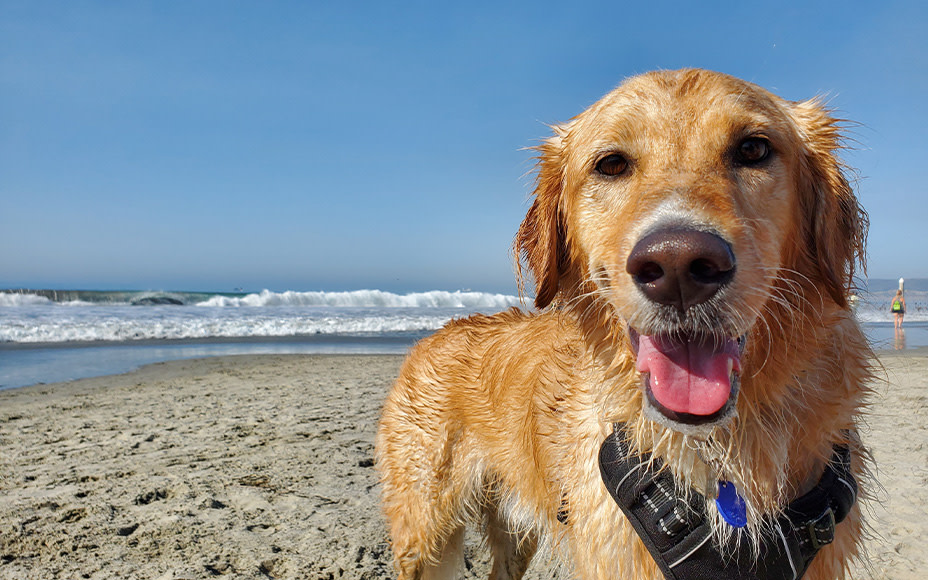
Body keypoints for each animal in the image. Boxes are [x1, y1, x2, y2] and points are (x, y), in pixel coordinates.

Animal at [374, 69, 872, 580]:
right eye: (611, 164)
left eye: (753, 149)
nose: (678, 265)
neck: (717, 454)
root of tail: (439, 331)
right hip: (426, 532)